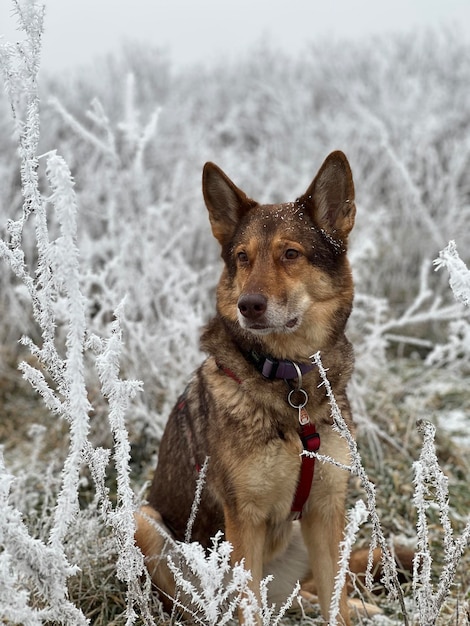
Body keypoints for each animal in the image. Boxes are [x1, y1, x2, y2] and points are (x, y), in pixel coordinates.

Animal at [135, 149, 356, 620]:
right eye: (242, 257)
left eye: (290, 253)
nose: (248, 305)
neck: (290, 381)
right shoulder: (245, 521)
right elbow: (248, 609)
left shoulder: (326, 511)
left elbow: (338, 606)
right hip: (144, 521)